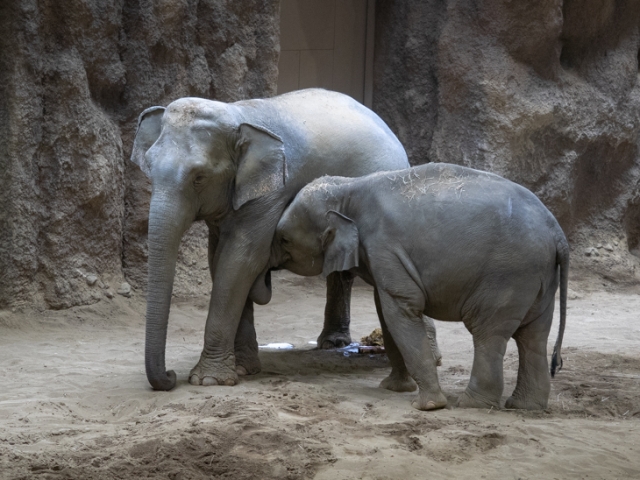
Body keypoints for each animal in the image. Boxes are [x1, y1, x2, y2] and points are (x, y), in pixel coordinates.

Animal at [131, 90, 410, 390]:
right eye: (149, 166)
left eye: (199, 177)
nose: (170, 376)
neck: (238, 115)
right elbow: (219, 261)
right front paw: (243, 370)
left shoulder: (270, 195)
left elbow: (240, 260)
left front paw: (208, 380)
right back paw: (332, 343)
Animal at [268, 163, 568, 410]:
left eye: (283, 239)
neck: (347, 188)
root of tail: (558, 232)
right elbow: (385, 313)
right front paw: (394, 388)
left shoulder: (384, 246)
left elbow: (401, 310)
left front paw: (428, 406)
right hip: (539, 278)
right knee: (533, 336)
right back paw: (526, 406)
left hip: (508, 274)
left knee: (488, 333)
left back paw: (472, 403)